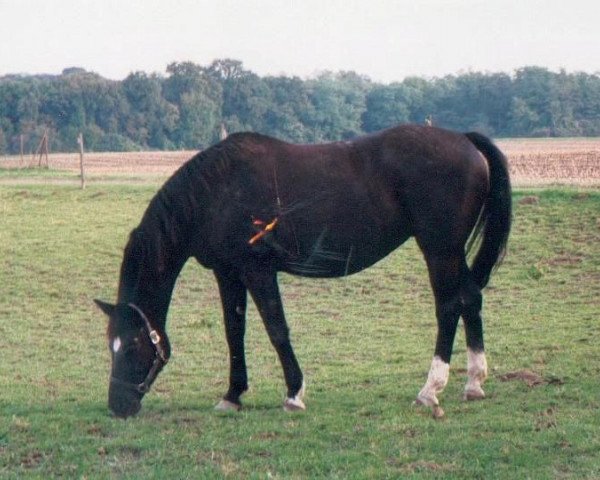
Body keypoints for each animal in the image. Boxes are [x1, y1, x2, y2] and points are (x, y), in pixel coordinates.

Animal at [95, 123, 510, 416]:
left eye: (132, 344)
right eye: (110, 343)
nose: (118, 406)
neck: (216, 193)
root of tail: (464, 140)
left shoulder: (258, 271)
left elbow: (277, 329)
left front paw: (294, 393)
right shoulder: (228, 274)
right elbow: (234, 333)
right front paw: (232, 395)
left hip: (439, 250)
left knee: (449, 307)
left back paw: (430, 389)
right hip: (452, 253)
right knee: (471, 299)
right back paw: (473, 383)